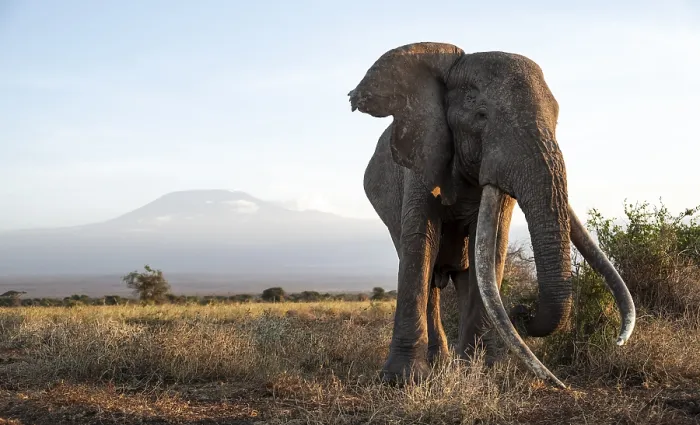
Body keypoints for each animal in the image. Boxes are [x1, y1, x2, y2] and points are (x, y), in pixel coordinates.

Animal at [348, 42, 636, 388]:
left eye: (556, 122)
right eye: (481, 116)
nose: (522, 311)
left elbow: (492, 246)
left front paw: (480, 370)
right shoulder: (422, 153)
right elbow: (420, 243)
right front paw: (402, 380)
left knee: (464, 273)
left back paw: (456, 362)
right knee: (426, 272)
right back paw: (438, 363)